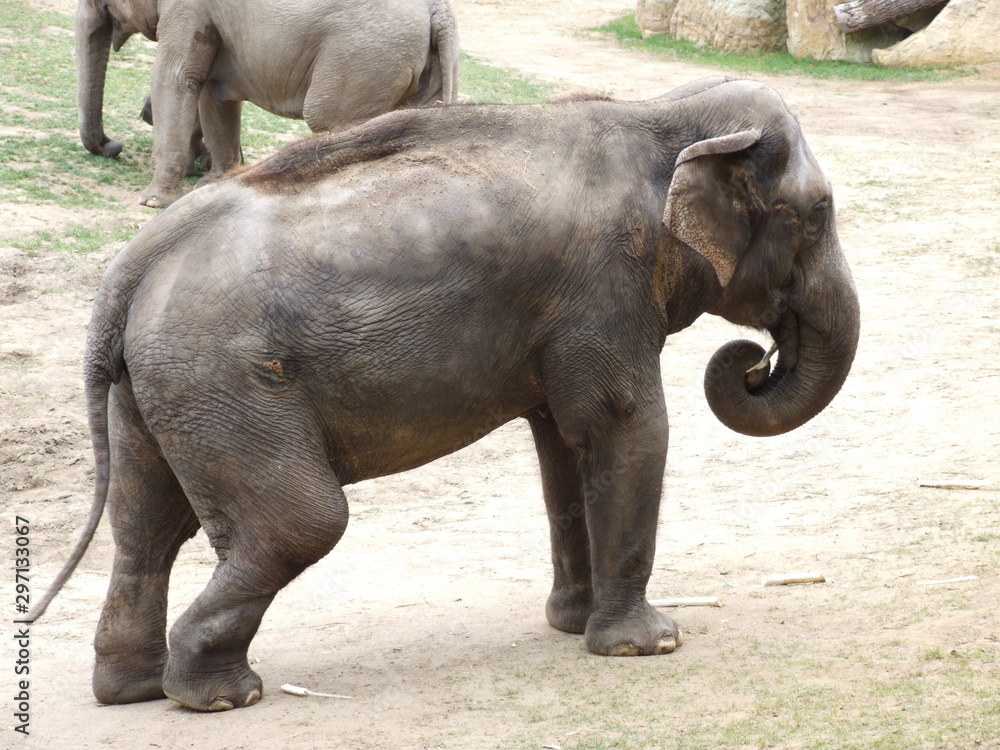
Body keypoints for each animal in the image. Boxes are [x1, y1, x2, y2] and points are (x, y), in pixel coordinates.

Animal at [31, 77, 860, 711]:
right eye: (817, 215)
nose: (753, 361)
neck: (656, 115)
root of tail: (133, 264)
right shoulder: (602, 290)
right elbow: (625, 427)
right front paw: (647, 645)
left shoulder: (567, 316)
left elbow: (564, 449)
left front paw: (571, 625)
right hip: (224, 381)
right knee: (300, 522)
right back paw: (225, 697)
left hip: (160, 389)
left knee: (147, 527)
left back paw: (135, 690)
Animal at [75, 0, 459, 208]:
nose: (112, 145)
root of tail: (439, 9)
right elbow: (213, 94)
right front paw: (212, 182)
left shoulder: (188, 9)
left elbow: (175, 78)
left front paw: (153, 201)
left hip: (364, 56)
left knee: (325, 117)